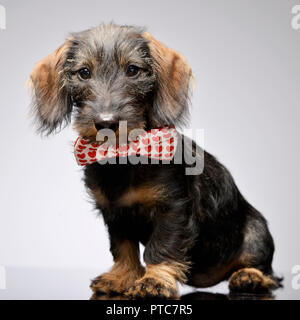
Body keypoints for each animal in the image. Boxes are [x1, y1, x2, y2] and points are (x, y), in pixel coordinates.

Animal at [28, 23, 282, 300]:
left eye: (132, 70)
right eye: (84, 72)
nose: (106, 122)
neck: (124, 159)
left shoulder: (173, 209)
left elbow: (161, 247)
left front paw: (155, 281)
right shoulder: (115, 214)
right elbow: (123, 248)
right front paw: (121, 276)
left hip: (256, 232)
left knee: (264, 268)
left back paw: (249, 276)